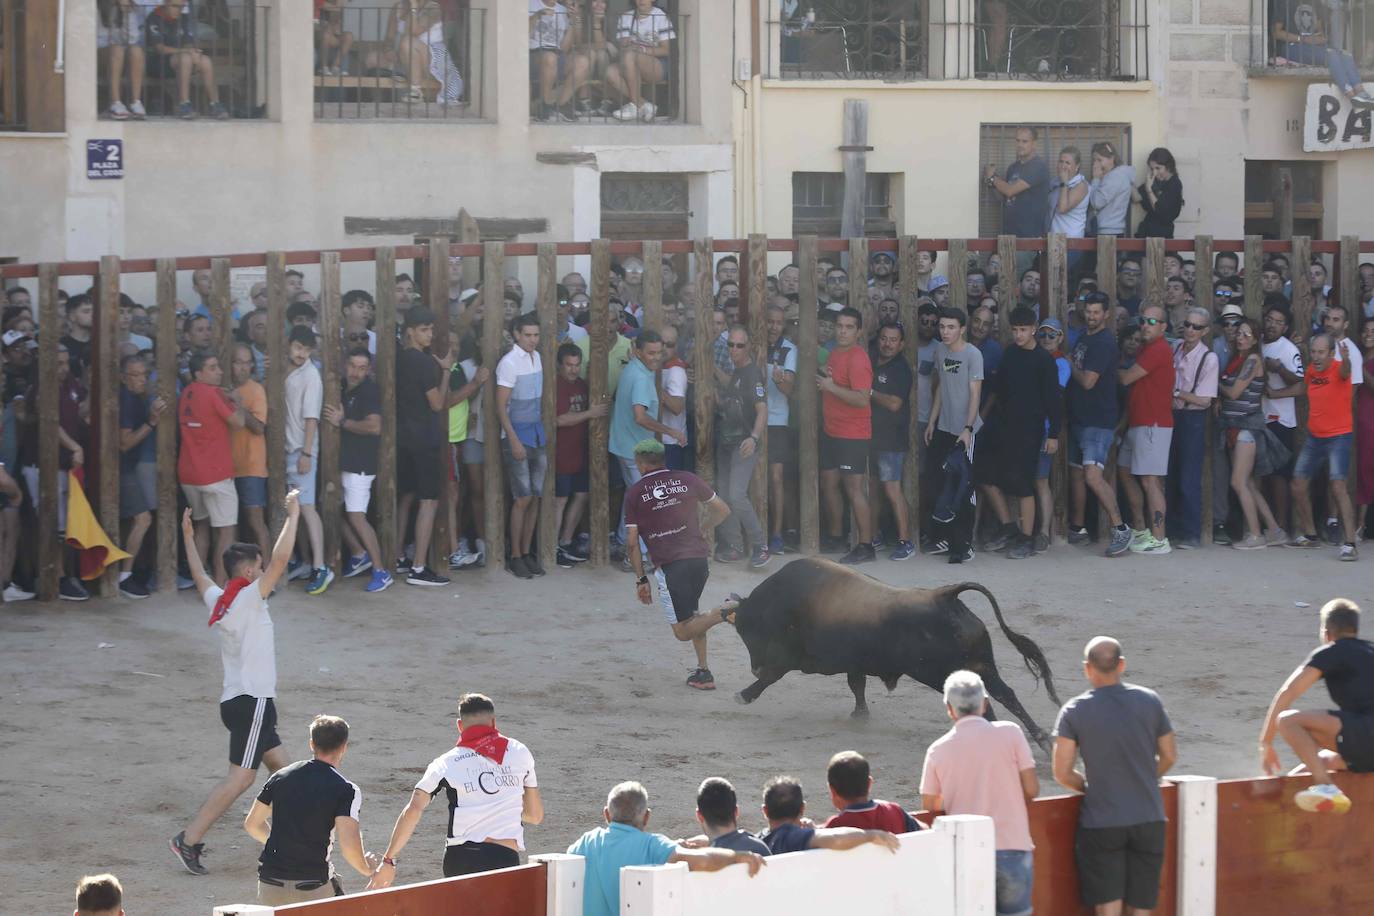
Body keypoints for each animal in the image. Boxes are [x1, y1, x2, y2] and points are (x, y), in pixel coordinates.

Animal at [730, 560, 1060, 747]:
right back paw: (1041, 738)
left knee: (989, 705)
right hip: (982, 666)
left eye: (747, 631)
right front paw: (860, 715)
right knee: (1006, 695)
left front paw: (743, 695)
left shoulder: (791, 657)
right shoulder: (855, 663)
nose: (754, 667)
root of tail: (945, 596)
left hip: (945, 673)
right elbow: (857, 686)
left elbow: (773, 676)